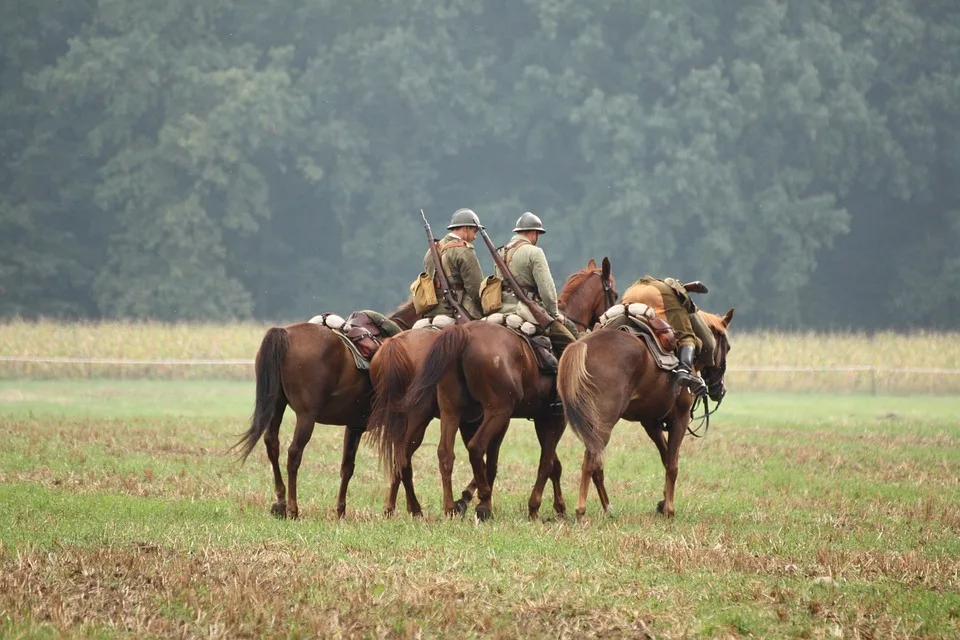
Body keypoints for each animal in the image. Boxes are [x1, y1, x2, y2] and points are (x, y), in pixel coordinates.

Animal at [233, 302, 420, 516]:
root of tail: (284, 334)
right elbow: (402, 463)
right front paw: (409, 508)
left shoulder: (354, 426)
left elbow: (348, 466)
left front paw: (341, 510)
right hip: (306, 416)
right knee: (294, 453)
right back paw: (292, 508)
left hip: (277, 406)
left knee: (272, 444)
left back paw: (280, 502)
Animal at [368, 258, 616, 516]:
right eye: (614, 293)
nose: (604, 325)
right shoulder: (551, 417)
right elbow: (546, 463)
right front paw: (543, 506)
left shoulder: (490, 418)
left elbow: (502, 462)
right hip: (486, 412)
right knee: (466, 449)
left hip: (438, 411)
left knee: (420, 452)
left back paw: (421, 507)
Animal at [556, 302, 736, 516]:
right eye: (728, 347)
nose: (720, 389)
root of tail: (581, 345)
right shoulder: (680, 418)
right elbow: (673, 465)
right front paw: (669, 509)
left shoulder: (651, 423)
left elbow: (666, 459)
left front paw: (663, 502)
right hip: (604, 423)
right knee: (591, 460)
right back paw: (581, 510)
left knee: (596, 463)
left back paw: (608, 508)